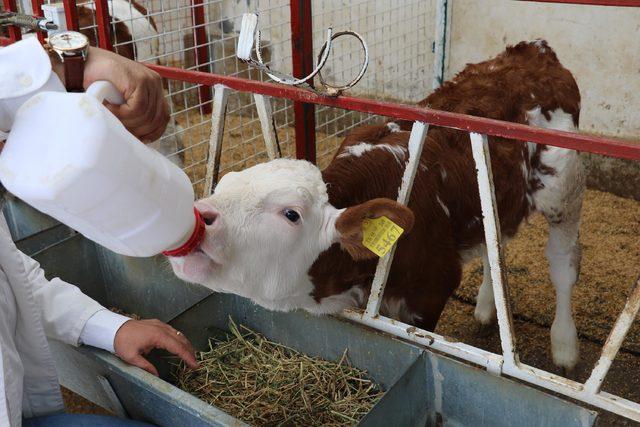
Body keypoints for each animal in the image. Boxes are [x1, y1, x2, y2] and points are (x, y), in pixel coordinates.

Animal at [169, 41, 584, 372]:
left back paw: (565, 347)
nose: (196, 218)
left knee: (563, 265)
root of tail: (534, 51)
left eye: (291, 214)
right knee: (494, 240)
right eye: (223, 184)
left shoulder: (432, 289)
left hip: (565, 193)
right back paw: (486, 306)